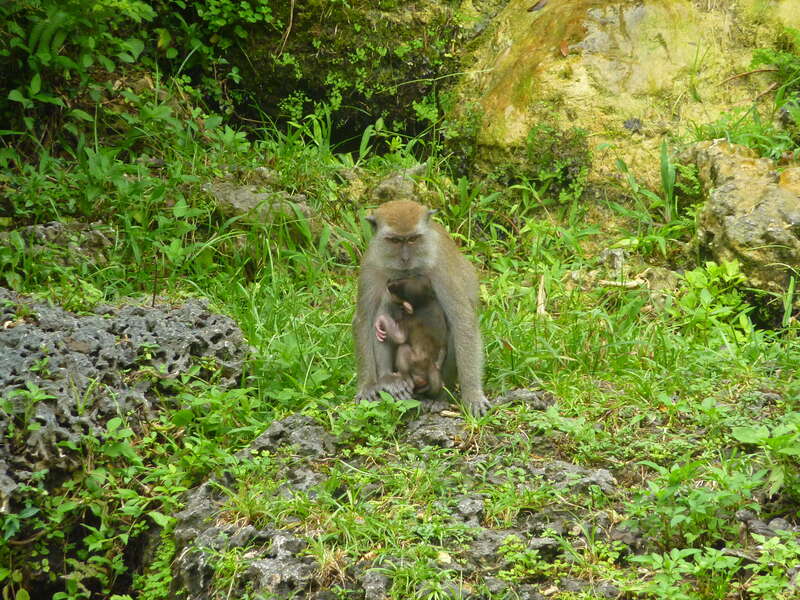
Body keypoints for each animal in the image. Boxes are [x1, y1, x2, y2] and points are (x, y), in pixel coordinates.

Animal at [354, 199, 490, 416]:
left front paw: (473, 395)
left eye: (412, 239)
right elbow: (363, 321)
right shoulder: (370, 265)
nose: (405, 259)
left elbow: (463, 322)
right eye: (394, 241)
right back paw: (389, 380)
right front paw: (367, 385)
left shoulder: (441, 267)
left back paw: (439, 397)